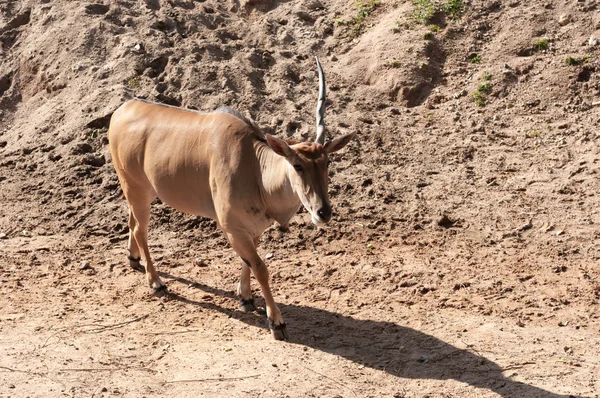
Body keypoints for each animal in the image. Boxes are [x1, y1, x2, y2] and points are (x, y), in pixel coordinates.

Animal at [108, 58, 354, 338]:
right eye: (298, 165)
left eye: (327, 162)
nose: (323, 212)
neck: (255, 166)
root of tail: (121, 111)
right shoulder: (232, 228)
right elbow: (260, 267)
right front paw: (276, 322)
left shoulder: (251, 229)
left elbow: (250, 262)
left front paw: (245, 298)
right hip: (136, 189)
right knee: (141, 229)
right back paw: (156, 283)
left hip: (140, 192)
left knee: (131, 222)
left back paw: (133, 259)